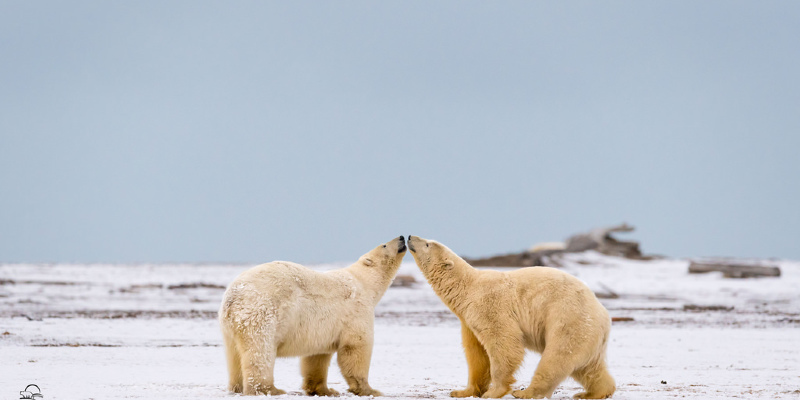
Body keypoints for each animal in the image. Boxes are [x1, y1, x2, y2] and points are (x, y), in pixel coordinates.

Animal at [219, 236, 406, 396]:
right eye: (384, 244)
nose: (402, 237)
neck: (363, 282)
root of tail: (233, 296)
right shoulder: (357, 311)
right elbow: (356, 348)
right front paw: (369, 390)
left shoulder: (322, 329)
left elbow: (317, 356)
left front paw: (325, 390)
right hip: (262, 314)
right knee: (260, 351)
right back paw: (270, 389)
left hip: (231, 326)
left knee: (234, 355)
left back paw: (236, 387)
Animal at [410, 236, 616, 398]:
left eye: (428, 243)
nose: (410, 236)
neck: (468, 288)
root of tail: (604, 315)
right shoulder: (467, 321)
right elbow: (477, 354)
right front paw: (462, 391)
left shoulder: (489, 305)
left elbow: (504, 343)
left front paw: (494, 391)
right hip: (588, 333)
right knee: (589, 367)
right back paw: (594, 392)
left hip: (569, 318)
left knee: (557, 356)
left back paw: (526, 392)